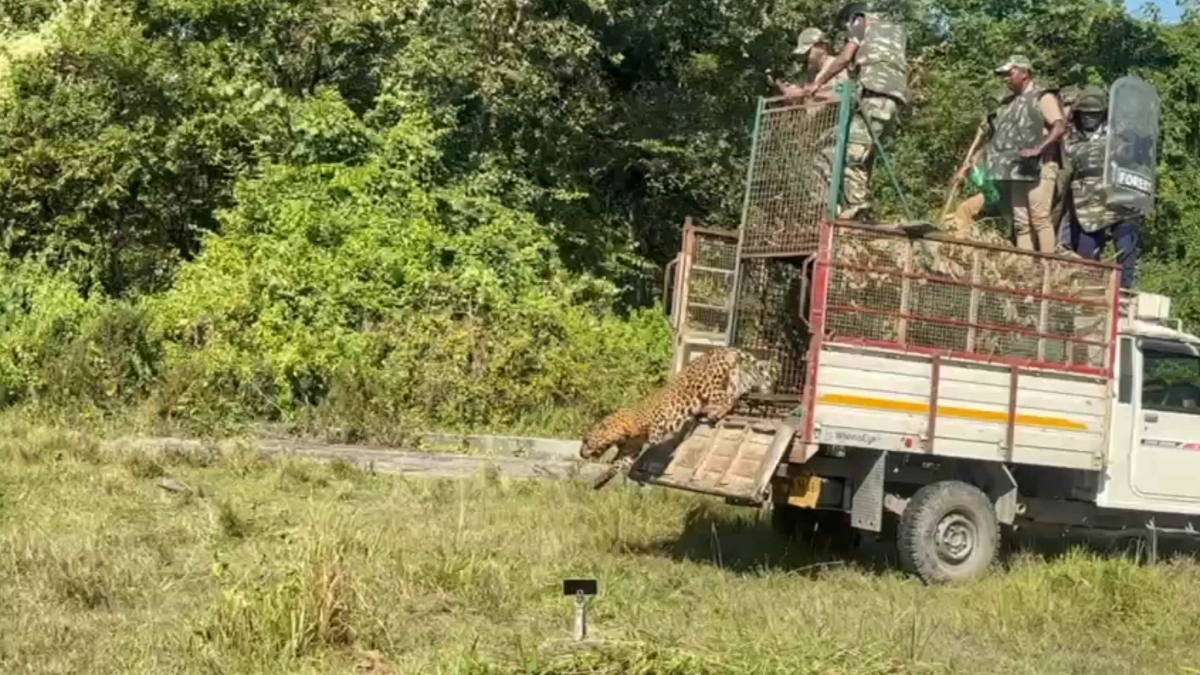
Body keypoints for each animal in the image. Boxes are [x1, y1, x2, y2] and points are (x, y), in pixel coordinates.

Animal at [580, 345, 777, 487]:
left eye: (586, 440)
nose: (581, 453)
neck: (622, 431)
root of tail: (724, 349)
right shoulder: (631, 447)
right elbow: (618, 463)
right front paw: (600, 480)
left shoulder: (657, 421)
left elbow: (654, 438)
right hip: (733, 380)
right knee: (738, 394)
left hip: (708, 388)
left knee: (729, 399)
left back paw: (714, 413)